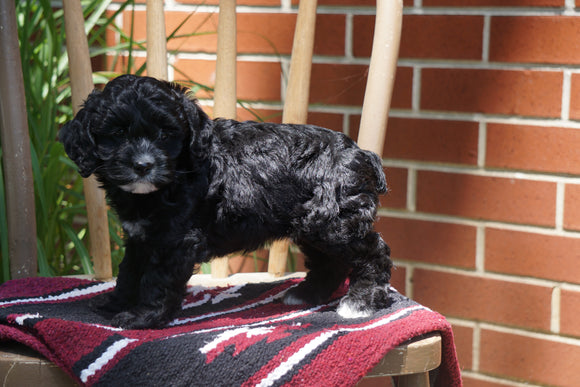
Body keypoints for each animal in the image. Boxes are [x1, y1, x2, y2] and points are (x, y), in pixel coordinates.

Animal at [60, 74, 394, 328]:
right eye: (117, 133)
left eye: (166, 134)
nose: (143, 165)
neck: (177, 174)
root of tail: (362, 153)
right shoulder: (141, 236)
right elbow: (129, 271)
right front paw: (114, 303)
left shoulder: (175, 240)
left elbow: (157, 281)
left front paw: (142, 317)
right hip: (313, 223)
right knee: (330, 261)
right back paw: (307, 294)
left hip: (336, 221)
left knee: (373, 252)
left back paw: (361, 302)